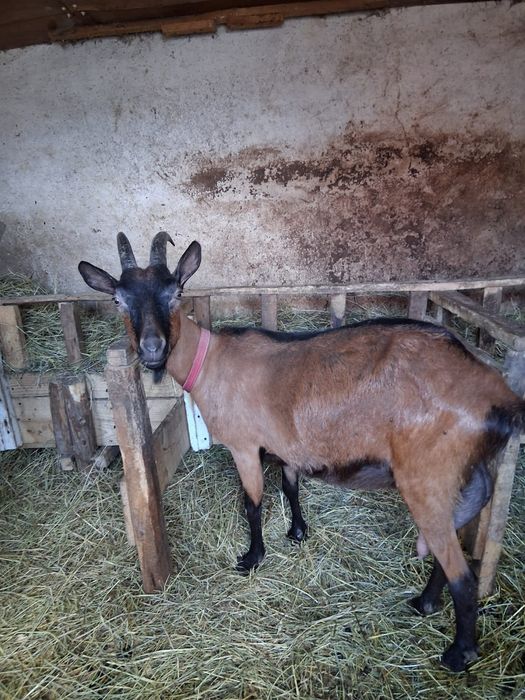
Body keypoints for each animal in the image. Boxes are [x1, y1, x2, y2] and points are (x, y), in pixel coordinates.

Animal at [79, 232, 525, 672]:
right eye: (118, 300)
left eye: (176, 293)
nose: (152, 349)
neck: (212, 363)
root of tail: (499, 398)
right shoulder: (288, 445)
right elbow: (290, 487)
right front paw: (297, 532)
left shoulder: (244, 445)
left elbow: (253, 502)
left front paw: (253, 556)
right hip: (464, 472)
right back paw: (425, 602)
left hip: (426, 479)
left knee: (461, 572)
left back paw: (458, 653)